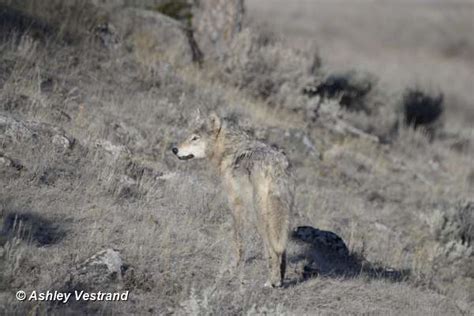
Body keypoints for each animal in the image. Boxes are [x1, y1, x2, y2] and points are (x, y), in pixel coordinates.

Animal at [172, 112, 292, 288]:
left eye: (195, 138)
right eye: (188, 135)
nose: (174, 149)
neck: (228, 150)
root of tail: (275, 165)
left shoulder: (235, 203)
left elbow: (237, 239)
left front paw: (234, 266)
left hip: (261, 218)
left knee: (271, 249)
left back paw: (272, 282)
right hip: (282, 218)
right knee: (282, 248)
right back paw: (281, 279)